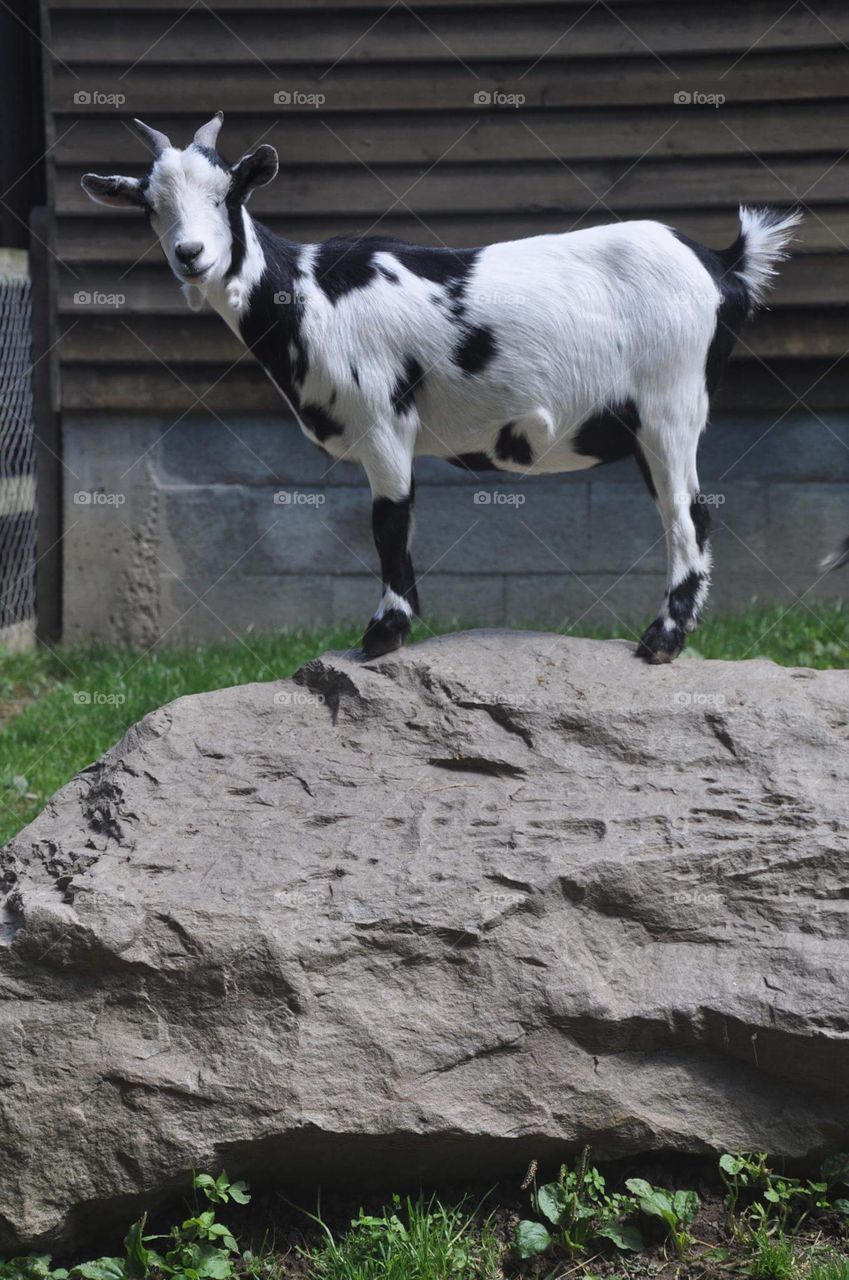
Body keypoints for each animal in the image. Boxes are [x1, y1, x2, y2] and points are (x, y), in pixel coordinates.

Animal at [83, 112, 804, 662]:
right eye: (151, 206)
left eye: (225, 194)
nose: (192, 256)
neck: (308, 294)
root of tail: (723, 266)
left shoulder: (382, 421)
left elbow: (389, 522)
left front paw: (381, 636)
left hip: (669, 406)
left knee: (688, 514)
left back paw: (661, 642)